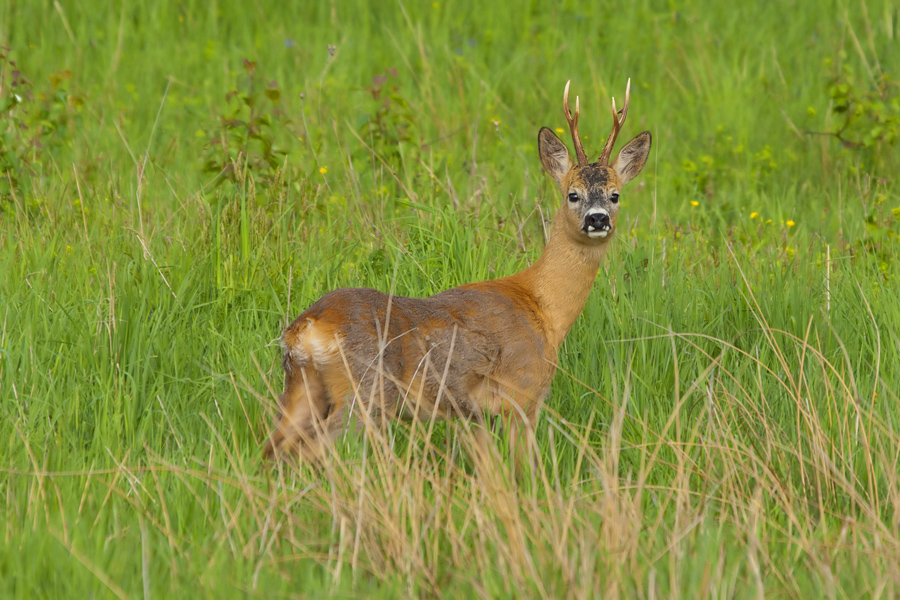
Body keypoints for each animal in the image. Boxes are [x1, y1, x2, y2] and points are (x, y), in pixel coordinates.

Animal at [264, 78, 652, 464]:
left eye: (615, 195)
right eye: (572, 194)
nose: (597, 219)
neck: (543, 309)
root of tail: (306, 329)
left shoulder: (473, 415)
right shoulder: (523, 394)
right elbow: (522, 468)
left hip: (302, 388)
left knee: (272, 449)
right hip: (365, 393)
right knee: (313, 449)